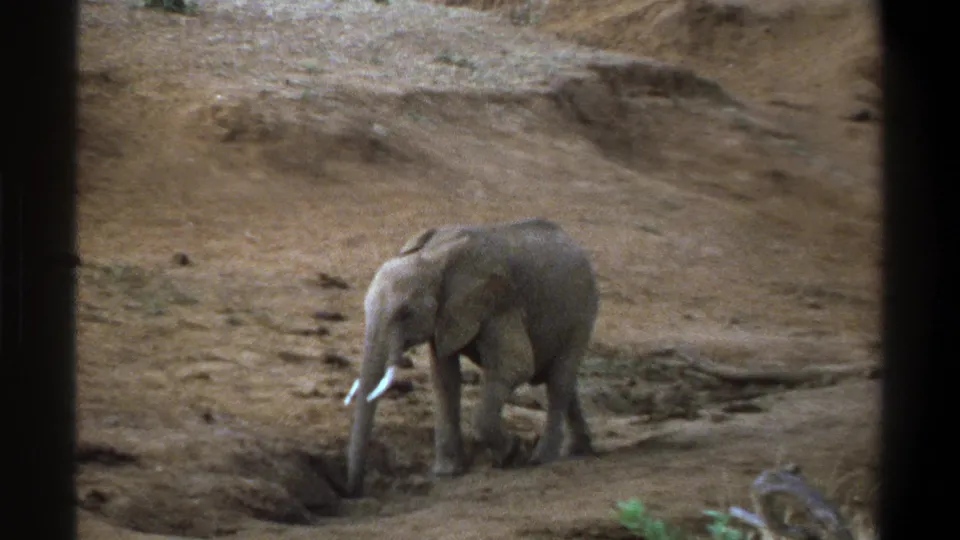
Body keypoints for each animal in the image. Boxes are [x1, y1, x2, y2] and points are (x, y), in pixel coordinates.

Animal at [343, 217, 599, 497]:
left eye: (405, 313)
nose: (354, 491)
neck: (431, 259)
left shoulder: (497, 303)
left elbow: (517, 365)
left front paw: (511, 454)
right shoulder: (446, 317)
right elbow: (444, 379)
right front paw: (447, 473)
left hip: (581, 313)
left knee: (558, 381)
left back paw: (542, 458)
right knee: (561, 382)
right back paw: (580, 450)